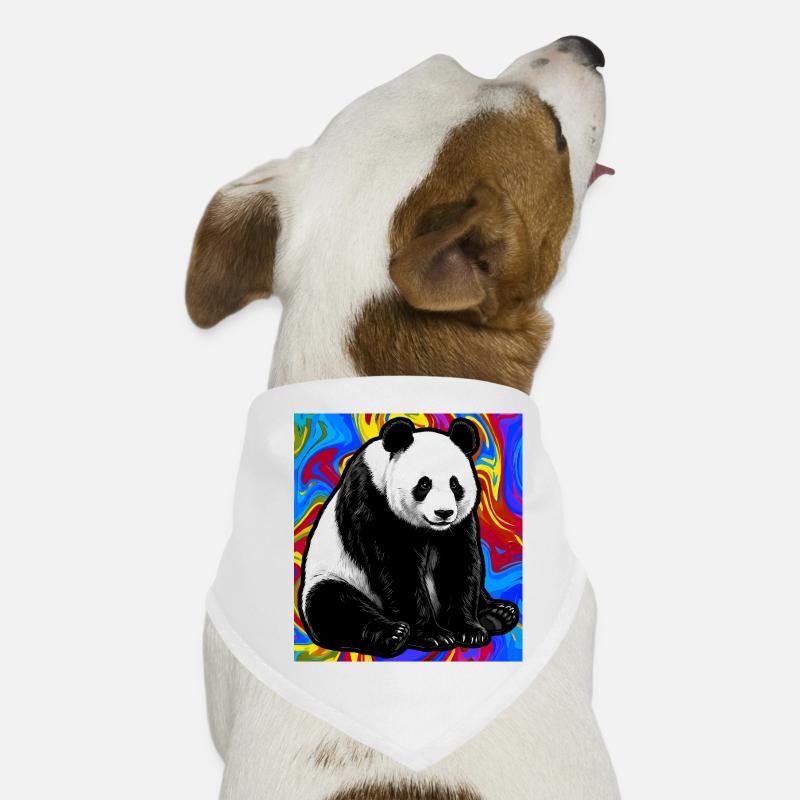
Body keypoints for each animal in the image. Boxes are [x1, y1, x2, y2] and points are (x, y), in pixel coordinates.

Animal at [299, 416, 519, 658]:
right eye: (424, 484)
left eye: (454, 484)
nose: (443, 513)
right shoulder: (370, 501)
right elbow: (397, 567)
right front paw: (433, 635)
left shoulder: (458, 525)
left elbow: (458, 564)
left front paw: (469, 630)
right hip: (335, 577)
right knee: (334, 606)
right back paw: (393, 634)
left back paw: (499, 613)